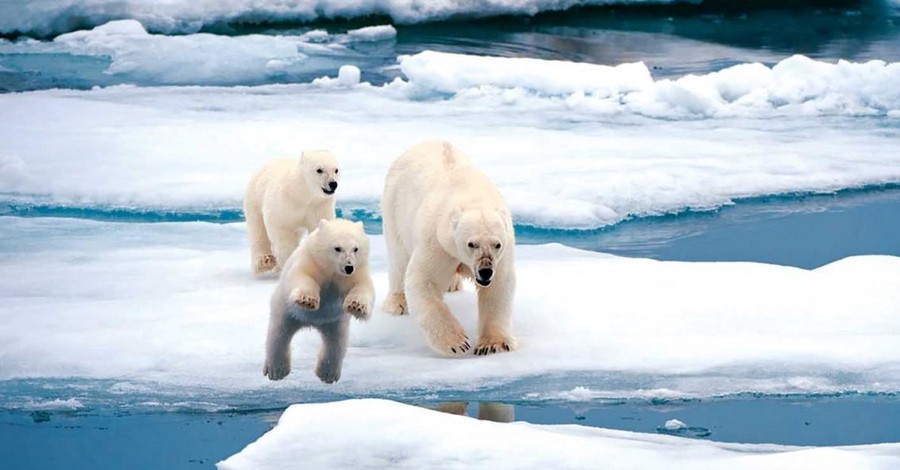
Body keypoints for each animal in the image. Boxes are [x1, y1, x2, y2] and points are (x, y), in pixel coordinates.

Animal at [382, 140, 516, 356]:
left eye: (497, 244)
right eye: (471, 244)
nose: (485, 271)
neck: (471, 196)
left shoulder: (504, 251)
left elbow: (498, 287)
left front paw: (493, 345)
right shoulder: (438, 241)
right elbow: (424, 279)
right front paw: (457, 343)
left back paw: (453, 284)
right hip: (394, 207)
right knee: (398, 258)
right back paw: (398, 303)